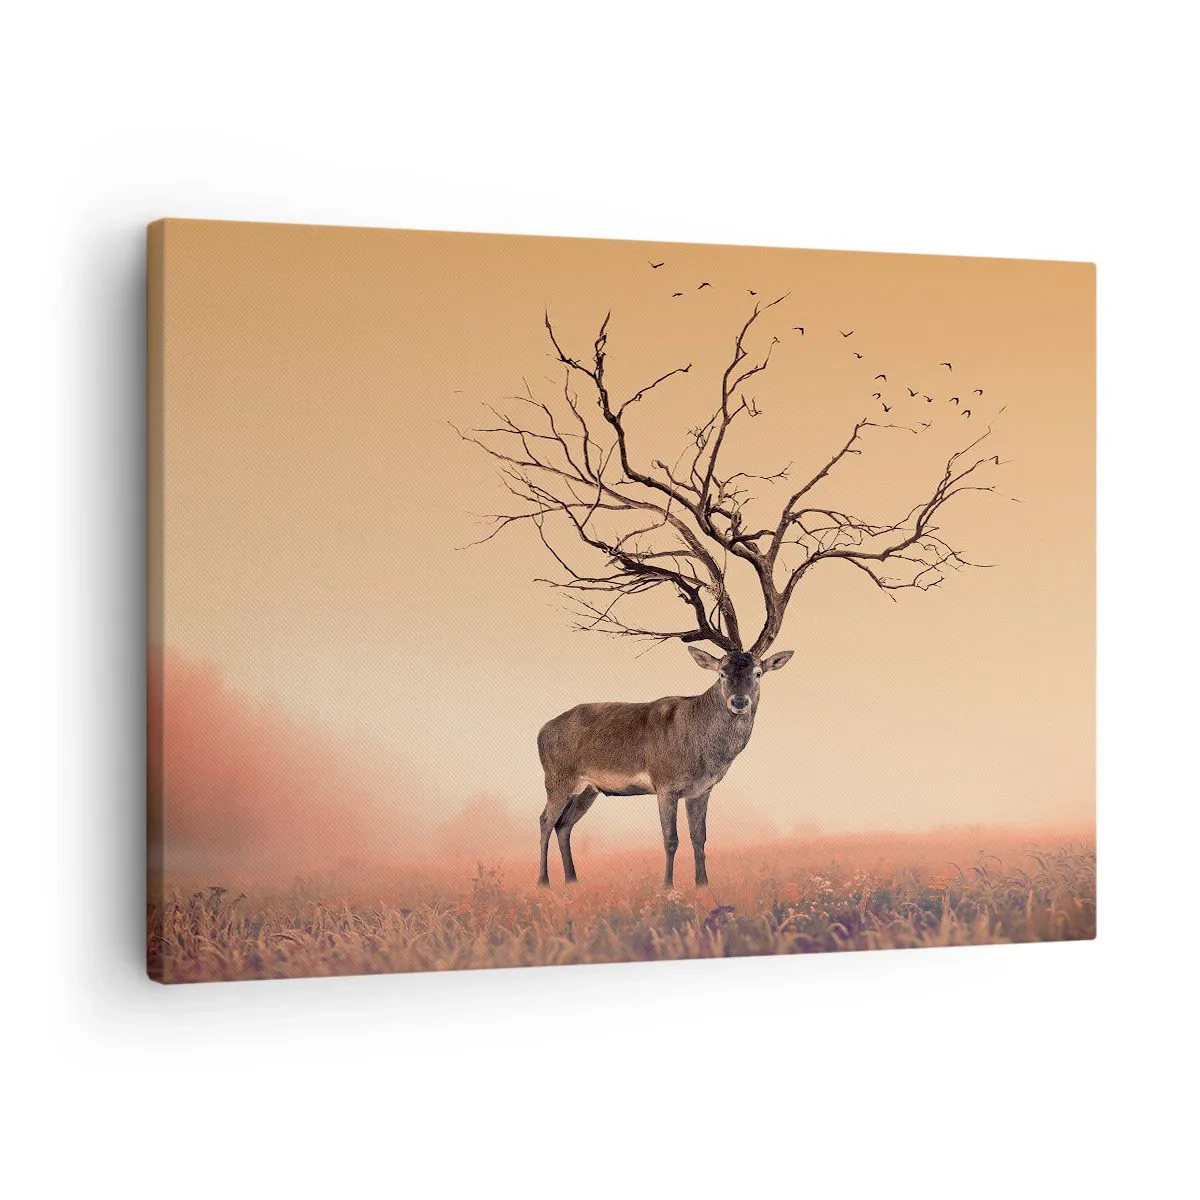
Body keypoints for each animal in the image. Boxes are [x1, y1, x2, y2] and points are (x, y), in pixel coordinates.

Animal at [537, 646, 793, 888]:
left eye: (758, 673)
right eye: (722, 673)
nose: (739, 701)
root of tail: (542, 731)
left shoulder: (701, 790)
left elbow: (699, 838)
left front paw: (702, 884)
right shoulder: (665, 784)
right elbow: (671, 839)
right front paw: (668, 885)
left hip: (588, 790)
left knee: (564, 825)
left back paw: (572, 880)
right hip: (557, 779)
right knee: (545, 820)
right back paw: (543, 881)